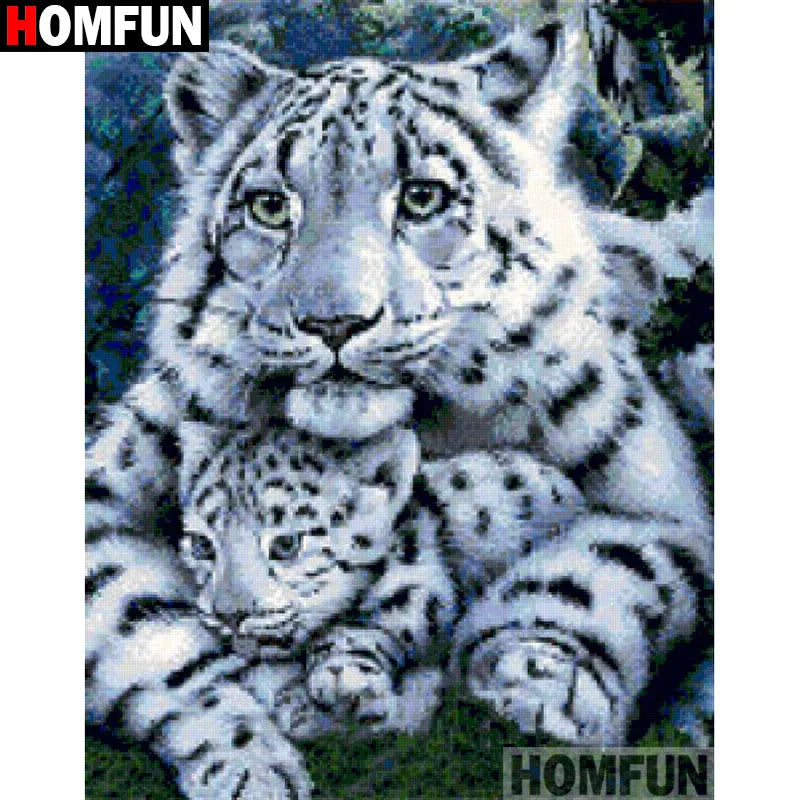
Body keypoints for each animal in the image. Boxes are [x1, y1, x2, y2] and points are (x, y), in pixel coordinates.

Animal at [86, 21, 712, 800]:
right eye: (268, 205)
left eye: (422, 198)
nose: (334, 322)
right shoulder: (102, 499)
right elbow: (152, 632)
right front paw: (249, 758)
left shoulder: (663, 503)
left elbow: (602, 567)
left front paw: (540, 683)